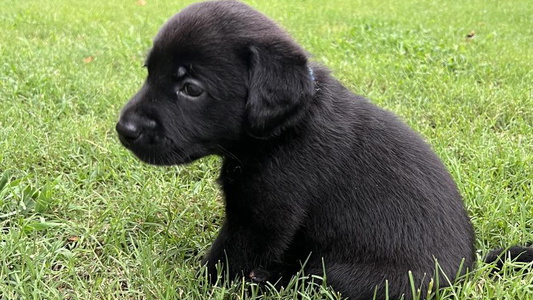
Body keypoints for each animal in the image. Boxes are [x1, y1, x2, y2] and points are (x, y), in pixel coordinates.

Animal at [117, 1, 532, 298]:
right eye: (149, 71)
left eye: (191, 88)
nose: (124, 129)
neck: (284, 128)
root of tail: (470, 271)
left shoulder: (262, 217)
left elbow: (230, 258)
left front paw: (202, 284)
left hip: (343, 275)